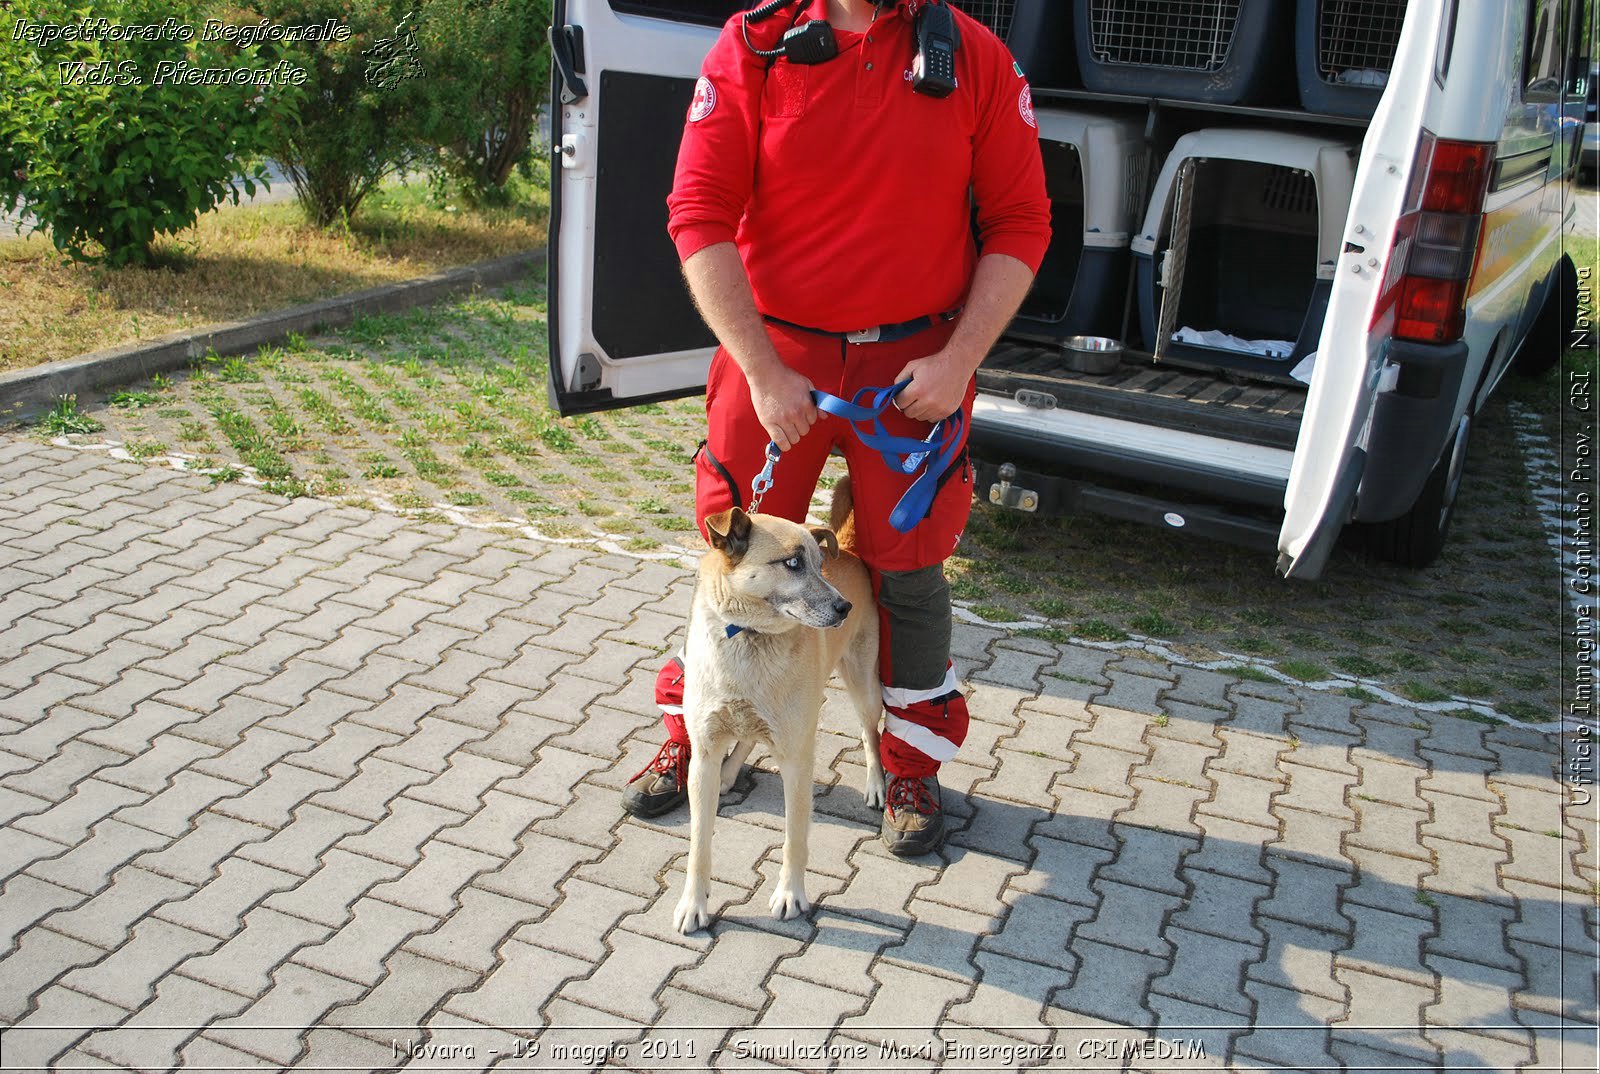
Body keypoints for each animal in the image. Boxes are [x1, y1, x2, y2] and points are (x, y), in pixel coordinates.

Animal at [668, 480, 883, 934]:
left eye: (819, 564)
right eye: (792, 563)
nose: (844, 607)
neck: (749, 635)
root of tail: (849, 550)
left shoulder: (798, 762)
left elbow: (794, 839)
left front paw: (790, 895)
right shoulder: (705, 753)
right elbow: (699, 845)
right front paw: (693, 904)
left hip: (863, 687)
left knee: (872, 733)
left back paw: (876, 783)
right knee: (749, 738)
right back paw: (730, 774)